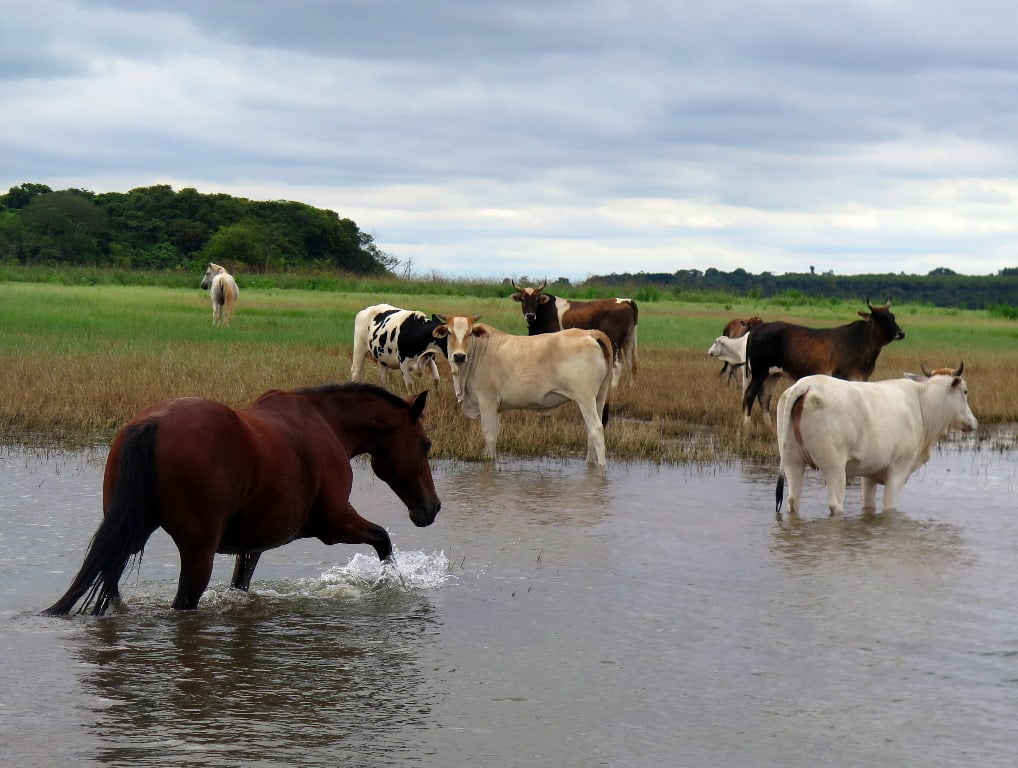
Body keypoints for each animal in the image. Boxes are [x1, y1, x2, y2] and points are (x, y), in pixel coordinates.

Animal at [44, 383, 441, 615]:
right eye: (425, 445)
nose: (431, 508)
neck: (327, 424)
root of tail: (152, 423)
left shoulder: (253, 545)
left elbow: (241, 584)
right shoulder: (334, 523)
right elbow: (383, 540)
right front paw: (390, 583)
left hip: (129, 533)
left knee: (109, 584)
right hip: (197, 552)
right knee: (181, 604)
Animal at [432, 314, 613, 466]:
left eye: (470, 333)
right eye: (449, 332)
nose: (459, 356)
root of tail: (589, 333)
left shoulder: (487, 402)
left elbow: (489, 437)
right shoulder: (496, 408)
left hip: (585, 398)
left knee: (596, 430)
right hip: (599, 397)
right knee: (591, 433)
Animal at [510, 280, 638, 387]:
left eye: (536, 299)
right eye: (522, 299)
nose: (530, 315)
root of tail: (626, 301)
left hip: (614, 341)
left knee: (618, 364)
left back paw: (613, 388)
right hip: (628, 339)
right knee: (630, 362)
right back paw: (630, 387)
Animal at [743, 299, 905, 426]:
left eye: (892, 316)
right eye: (880, 318)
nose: (901, 333)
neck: (861, 342)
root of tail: (758, 328)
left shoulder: (861, 378)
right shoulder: (841, 376)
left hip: (773, 373)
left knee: (764, 396)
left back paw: (769, 426)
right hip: (759, 371)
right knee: (749, 394)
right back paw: (747, 425)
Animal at [774, 363, 976, 519]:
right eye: (965, 391)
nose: (974, 422)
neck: (923, 404)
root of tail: (807, 385)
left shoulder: (869, 472)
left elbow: (869, 505)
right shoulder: (899, 469)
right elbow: (890, 507)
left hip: (792, 461)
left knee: (793, 500)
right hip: (834, 467)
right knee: (835, 503)